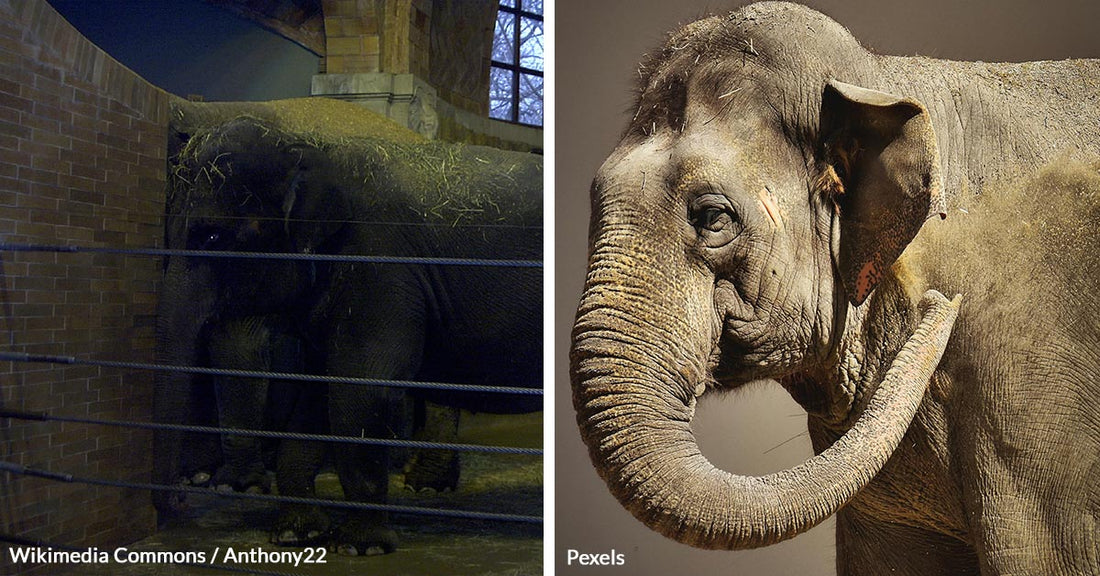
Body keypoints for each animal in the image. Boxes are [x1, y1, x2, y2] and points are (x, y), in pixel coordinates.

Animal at [153, 111, 542, 556]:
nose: (181, 499)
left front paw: (360, 547)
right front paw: (296, 534)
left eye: (212, 236)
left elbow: (360, 392)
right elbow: (317, 395)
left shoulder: (379, 265)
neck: (311, 147)